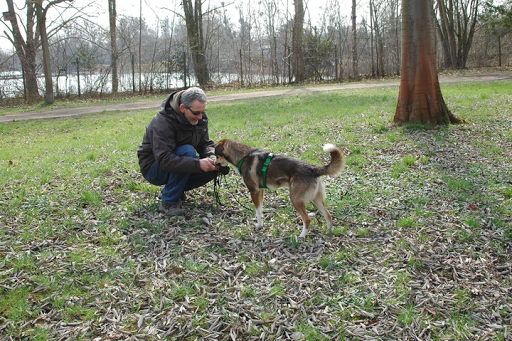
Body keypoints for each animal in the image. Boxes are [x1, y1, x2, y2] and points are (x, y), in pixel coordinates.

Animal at [214, 138, 346, 236]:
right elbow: (260, 210)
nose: (214, 165)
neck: (244, 156)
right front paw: (260, 223)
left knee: (307, 219)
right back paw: (329, 232)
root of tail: (314, 168)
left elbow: (257, 211)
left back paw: (301, 236)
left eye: (216, 155)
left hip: (296, 200)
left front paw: (259, 226)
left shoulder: (253, 191)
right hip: (317, 199)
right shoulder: (261, 191)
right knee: (328, 215)